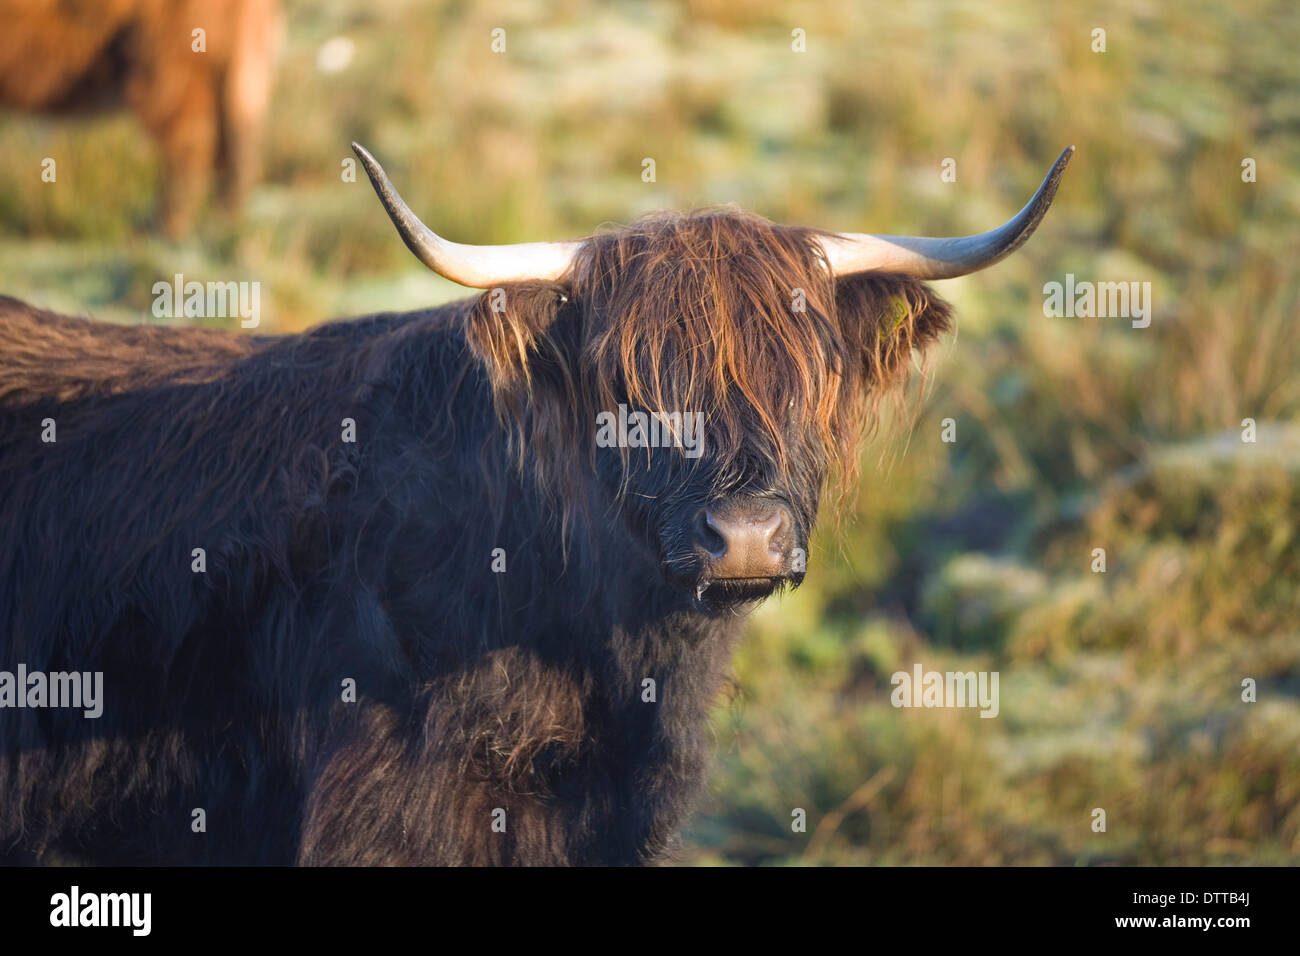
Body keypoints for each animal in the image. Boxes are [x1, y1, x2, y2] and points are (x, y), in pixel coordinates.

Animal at [0, 0, 282, 237]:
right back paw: (221, 222)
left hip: (168, 55)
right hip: (236, 58)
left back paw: (169, 226)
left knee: (191, 142)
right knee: (237, 144)